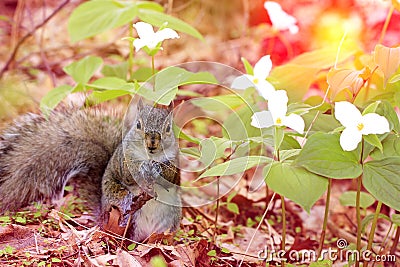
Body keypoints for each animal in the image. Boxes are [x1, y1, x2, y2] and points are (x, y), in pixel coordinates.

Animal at [0, 98, 180, 243]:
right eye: (138, 125)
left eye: (168, 128)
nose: (152, 143)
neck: (150, 157)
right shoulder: (123, 159)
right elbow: (127, 173)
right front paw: (142, 168)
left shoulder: (175, 160)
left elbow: (172, 177)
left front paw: (158, 168)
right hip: (124, 215)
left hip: (170, 219)